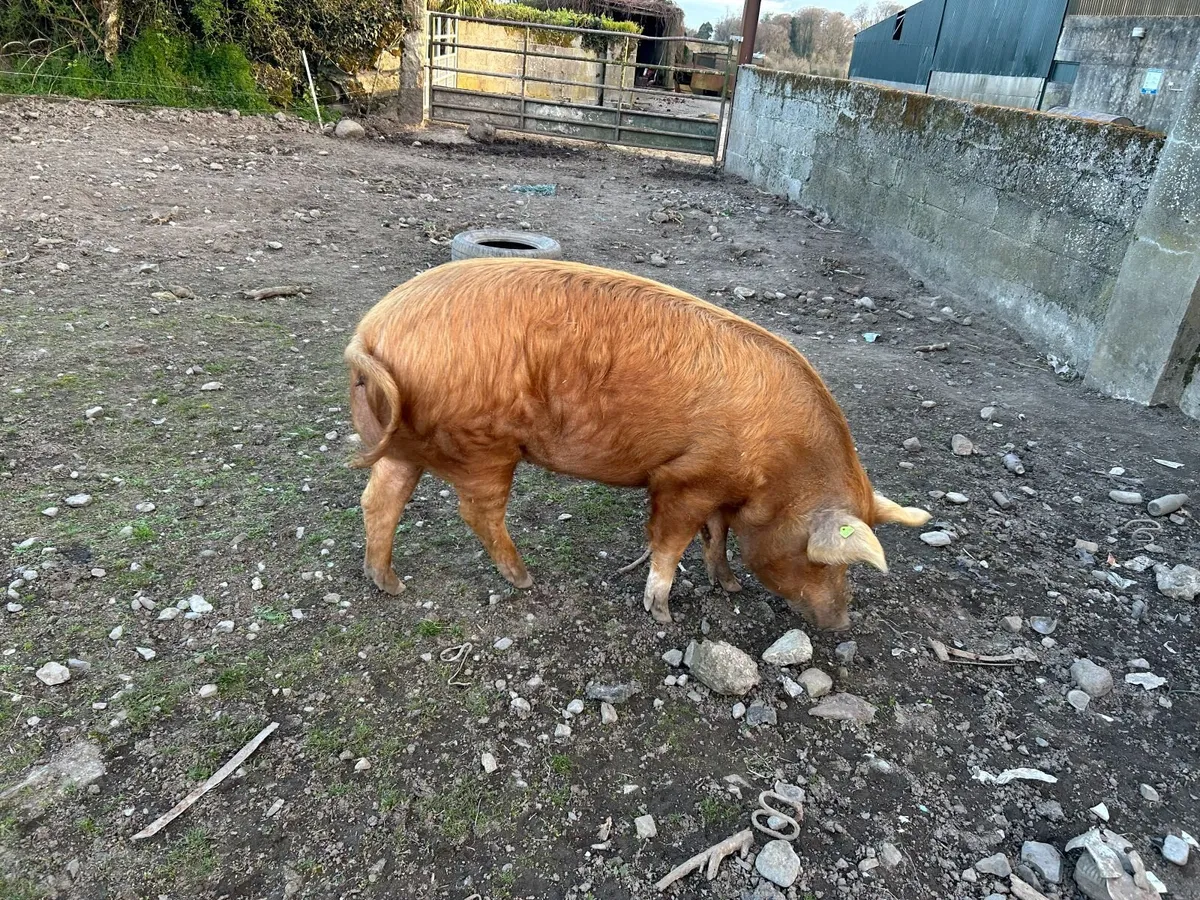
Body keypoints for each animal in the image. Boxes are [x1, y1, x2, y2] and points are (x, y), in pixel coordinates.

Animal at [345, 258, 930, 630]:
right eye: (824, 562)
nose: (842, 623)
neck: (781, 467)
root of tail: (368, 332)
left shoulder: (719, 486)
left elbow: (716, 536)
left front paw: (729, 587)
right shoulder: (683, 480)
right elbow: (670, 543)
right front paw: (664, 614)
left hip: (401, 444)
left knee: (379, 499)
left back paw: (389, 585)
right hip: (485, 447)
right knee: (476, 512)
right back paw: (526, 580)